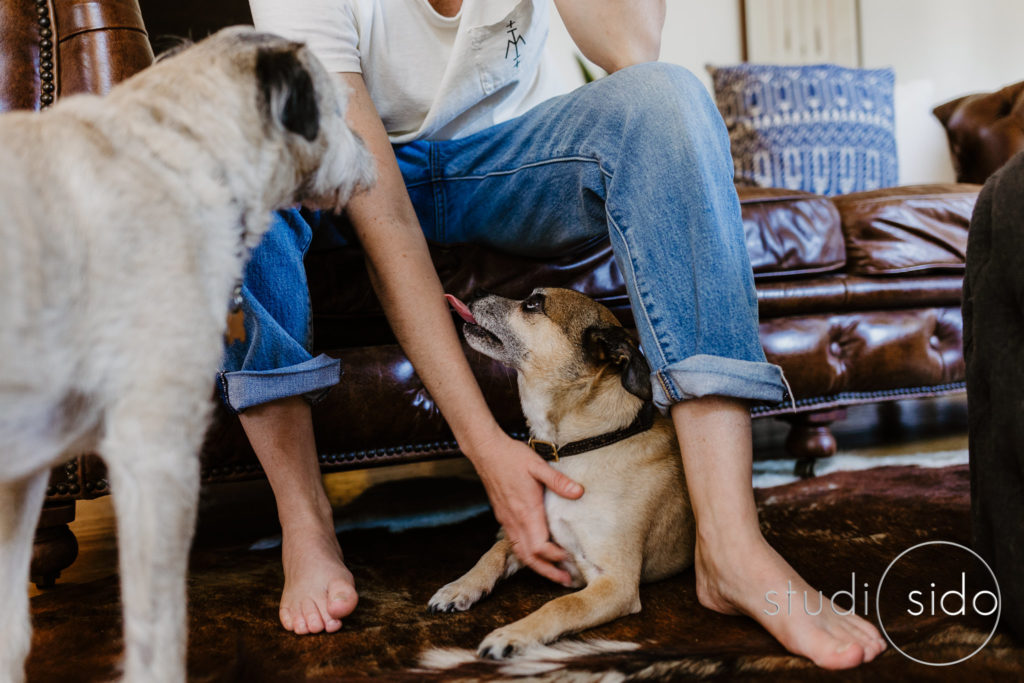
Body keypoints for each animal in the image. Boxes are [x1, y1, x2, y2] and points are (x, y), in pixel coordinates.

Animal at [0, 28, 374, 683]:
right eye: (337, 109)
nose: (371, 152)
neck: (182, 148)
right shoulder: (155, 455)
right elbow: (158, 627)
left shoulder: (22, 473)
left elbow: (9, 624)